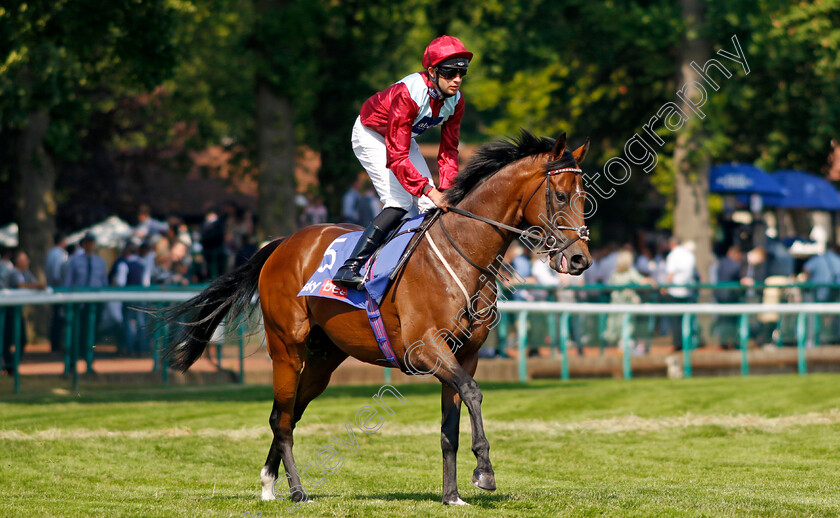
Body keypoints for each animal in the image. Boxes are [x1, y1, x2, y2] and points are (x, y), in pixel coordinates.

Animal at [162, 131, 592, 508]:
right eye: (560, 195)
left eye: (585, 198)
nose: (579, 259)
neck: (464, 255)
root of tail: (282, 243)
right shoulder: (425, 349)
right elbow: (473, 393)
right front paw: (484, 472)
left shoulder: (464, 355)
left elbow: (450, 427)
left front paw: (451, 496)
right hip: (286, 348)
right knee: (281, 420)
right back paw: (297, 492)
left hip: (322, 359)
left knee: (288, 412)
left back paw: (269, 484)